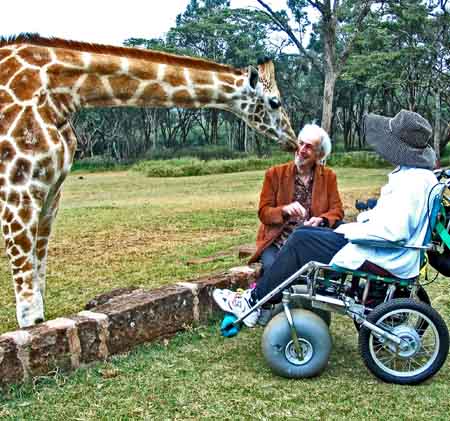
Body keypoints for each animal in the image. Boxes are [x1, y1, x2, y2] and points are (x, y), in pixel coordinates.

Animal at [0, 33, 298, 328]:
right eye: (275, 102)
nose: (293, 141)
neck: (61, 93)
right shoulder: (17, 188)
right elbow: (30, 311)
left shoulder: (53, 190)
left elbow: (39, 271)